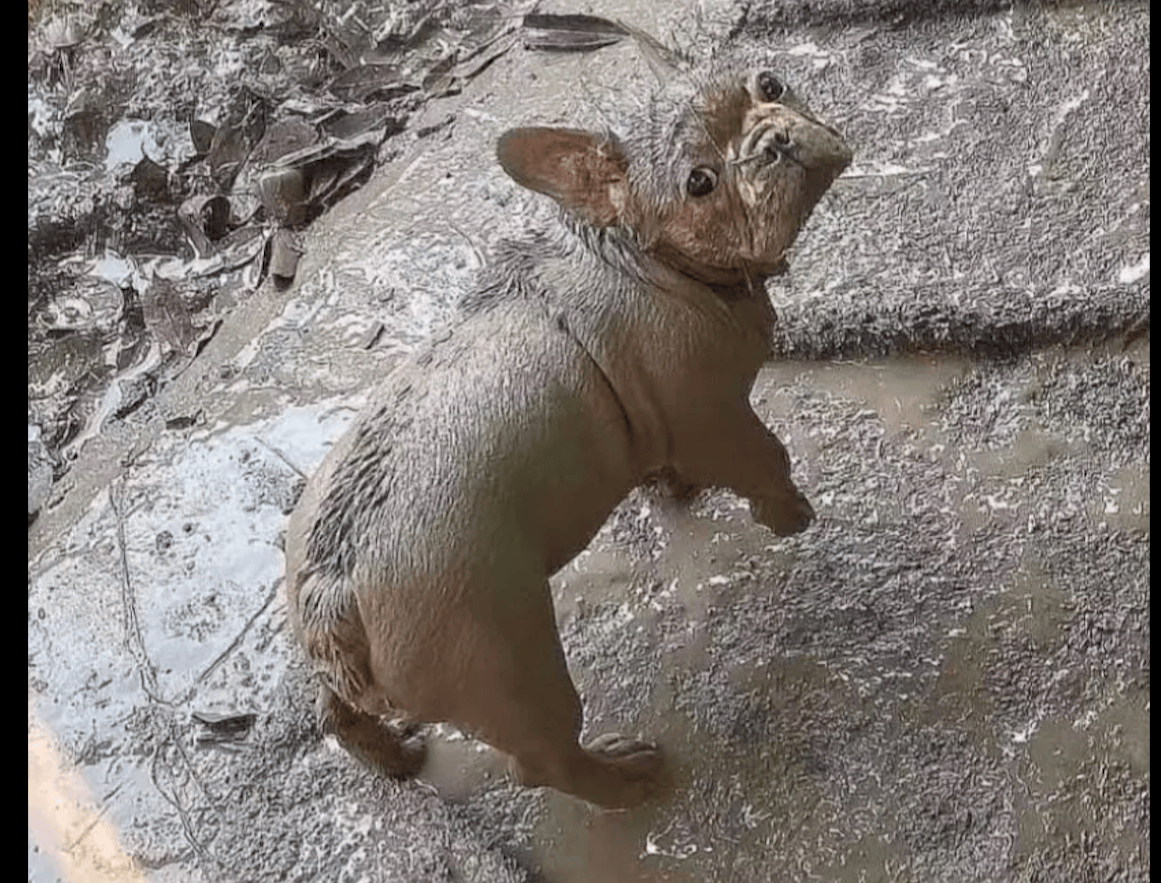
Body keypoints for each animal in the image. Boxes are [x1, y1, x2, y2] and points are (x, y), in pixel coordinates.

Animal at [285, 36, 849, 807]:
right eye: (699, 184)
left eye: (769, 84)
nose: (775, 141)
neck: (640, 254)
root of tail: (334, 596)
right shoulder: (712, 417)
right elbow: (765, 457)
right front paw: (788, 514)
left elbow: (666, 464)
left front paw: (672, 487)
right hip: (506, 662)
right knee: (543, 760)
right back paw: (622, 776)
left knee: (335, 712)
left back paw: (392, 755)